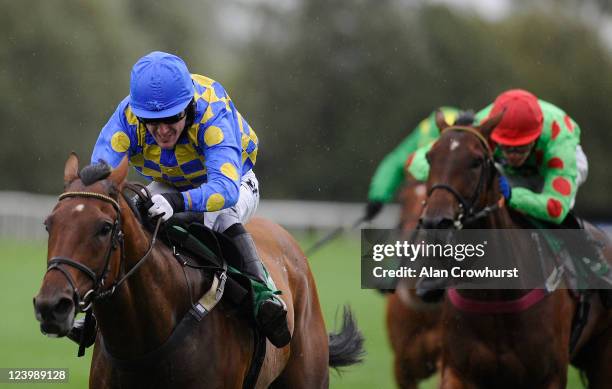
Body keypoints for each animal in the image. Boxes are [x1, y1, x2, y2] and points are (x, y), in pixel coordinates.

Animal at [420, 110, 612, 386]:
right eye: (429, 157)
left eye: (476, 161)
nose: (436, 222)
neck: (493, 294)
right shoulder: (457, 371)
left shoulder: (550, 376)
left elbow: (554, 202)